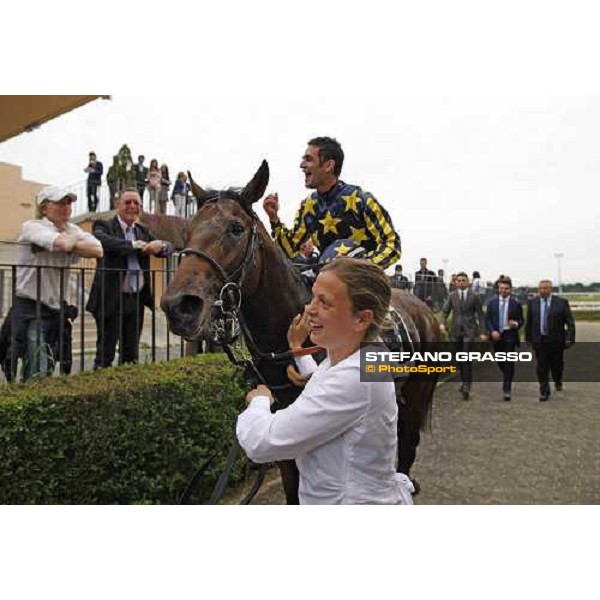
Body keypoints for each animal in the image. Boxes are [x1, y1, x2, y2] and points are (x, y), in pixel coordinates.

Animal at [157, 162, 442, 504]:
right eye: (187, 231)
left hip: (417, 395)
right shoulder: (284, 439)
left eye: (236, 228)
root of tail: (425, 310)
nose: (178, 306)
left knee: (407, 449)